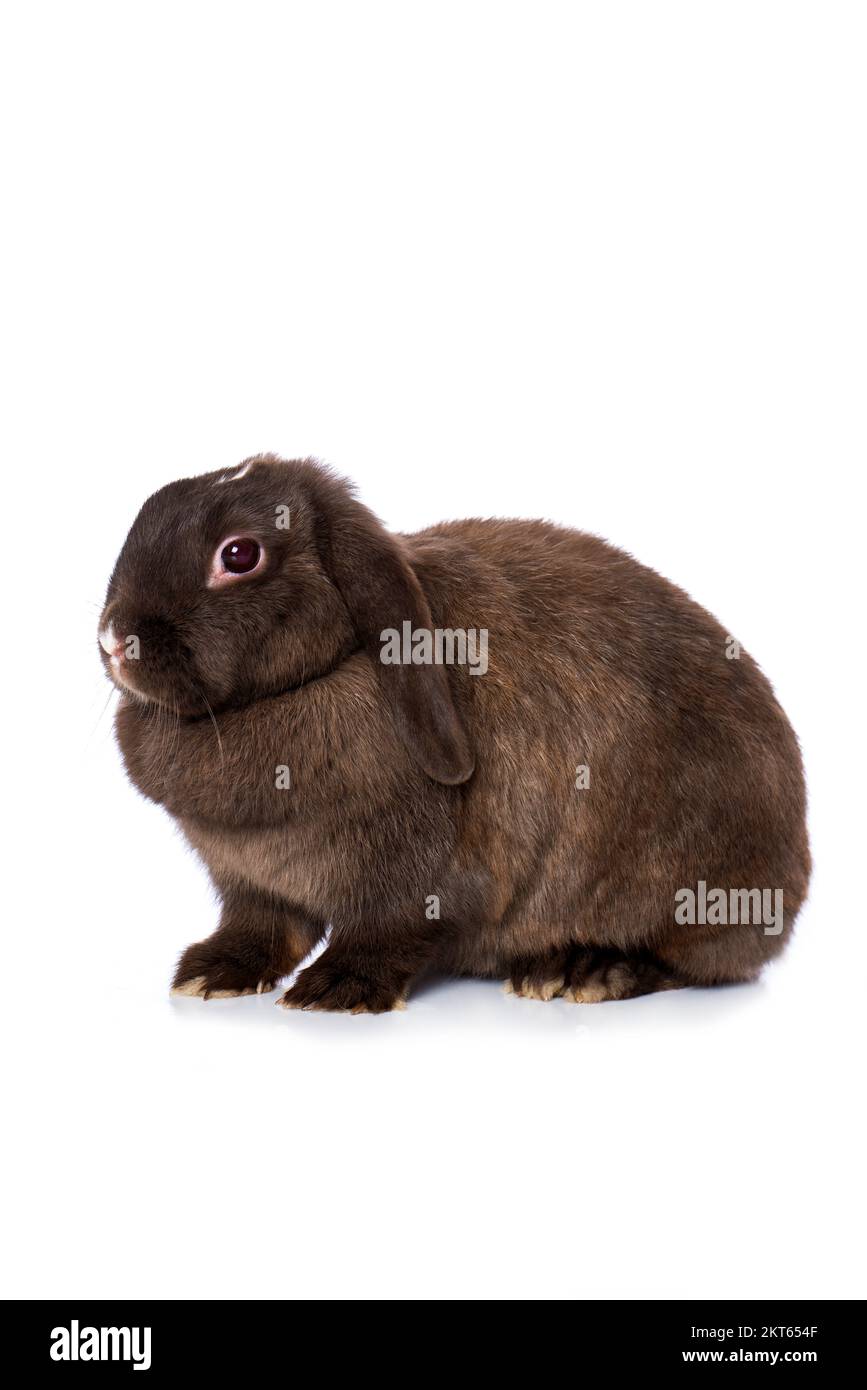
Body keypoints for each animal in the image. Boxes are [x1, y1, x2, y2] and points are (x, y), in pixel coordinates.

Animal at [98, 454, 810, 1013]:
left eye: (239, 554)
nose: (113, 639)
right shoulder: (249, 885)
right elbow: (264, 928)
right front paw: (212, 974)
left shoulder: (417, 871)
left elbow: (388, 927)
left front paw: (336, 991)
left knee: (691, 961)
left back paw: (582, 970)